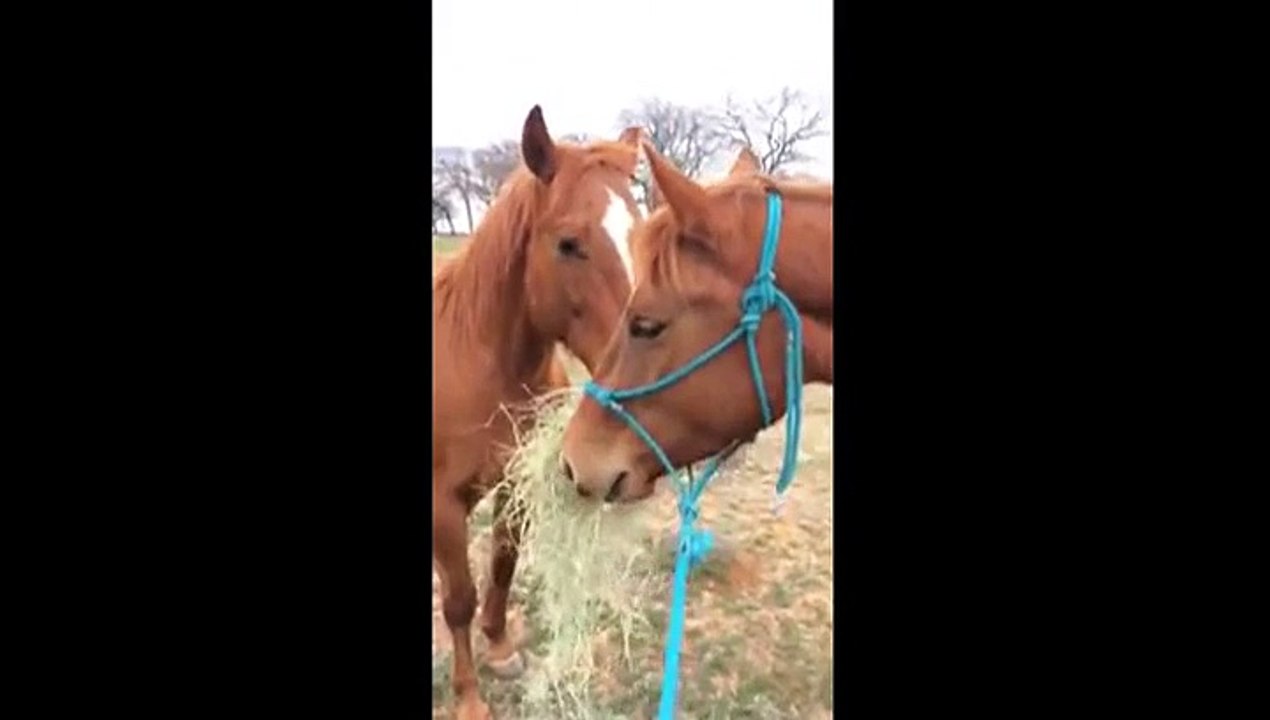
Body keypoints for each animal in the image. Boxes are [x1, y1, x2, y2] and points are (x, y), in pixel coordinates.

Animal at [432, 105, 645, 720]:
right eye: (569, 243)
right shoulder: (443, 504)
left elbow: (503, 563)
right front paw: (469, 697)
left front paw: (501, 648)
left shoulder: (515, 484)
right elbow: (458, 597)